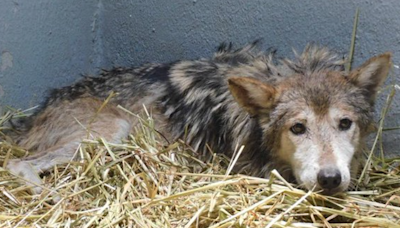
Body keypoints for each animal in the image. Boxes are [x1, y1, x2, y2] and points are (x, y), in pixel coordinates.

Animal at [5, 41, 390, 195]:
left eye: (345, 124)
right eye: (298, 128)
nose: (330, 178)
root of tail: (31, 115)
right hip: (113, 129)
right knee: (16, 165)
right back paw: (55, 197)